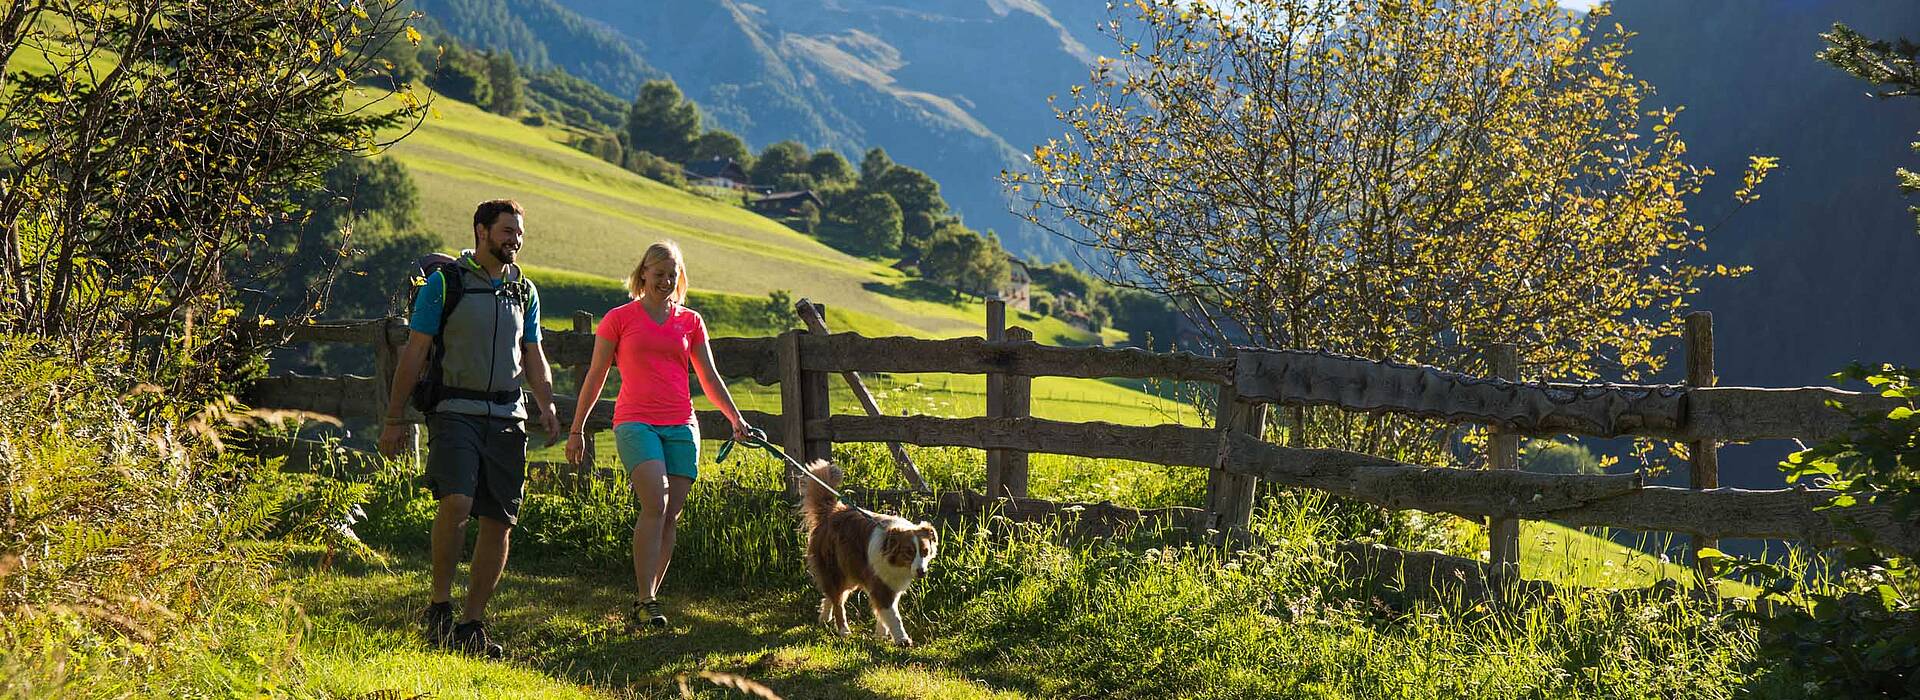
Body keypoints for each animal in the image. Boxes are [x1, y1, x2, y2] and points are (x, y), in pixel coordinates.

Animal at [798, 458, 940, 644]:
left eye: (925, 551)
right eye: (908, 552)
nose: (921, 572)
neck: (895, 562)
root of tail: (831, 511)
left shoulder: (890, 584)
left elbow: (884, 614)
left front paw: (881, 634)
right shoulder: (880, 585)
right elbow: (893, 615)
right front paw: (902, 638)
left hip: (851, 571)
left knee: (832, 594)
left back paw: (824, 617)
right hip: (837, 568)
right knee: (838, 600)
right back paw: (843, 629)